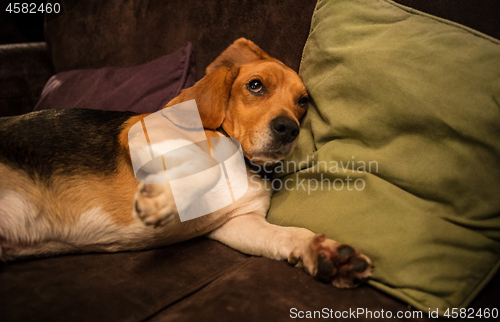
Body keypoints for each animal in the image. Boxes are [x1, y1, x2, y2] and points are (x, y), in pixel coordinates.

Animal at [0, 39, 372, 288]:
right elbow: (201, 164)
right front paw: (164, 198)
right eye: (255, 86)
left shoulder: (240, 222)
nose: (289, 129)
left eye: (302, 101)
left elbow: (285, 234)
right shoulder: (142, 137)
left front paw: (322, 251)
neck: (239, 156)